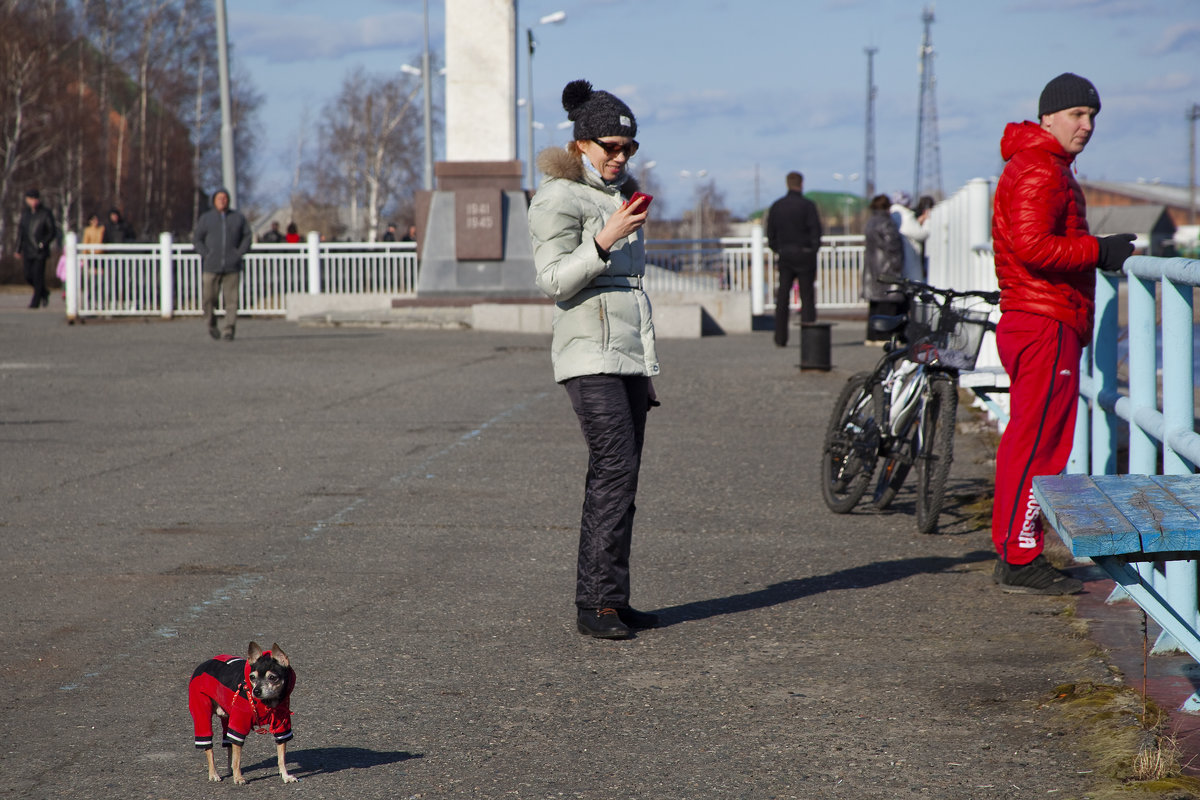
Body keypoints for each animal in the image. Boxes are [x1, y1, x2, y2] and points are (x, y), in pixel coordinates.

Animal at [189, 642, 300, 782]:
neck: (268, 702)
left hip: (228, 718)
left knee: (229, 743)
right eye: (252, 677)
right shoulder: (239, 726)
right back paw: (214, 773)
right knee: (208, 747)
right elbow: (238, 758)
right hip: (202, 715)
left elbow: (281, 758)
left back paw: (229, 769)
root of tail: (203, 664)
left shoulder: (282, 728)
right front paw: (238, 777)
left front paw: (285, 775)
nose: (256, 691)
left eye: (272, 677)